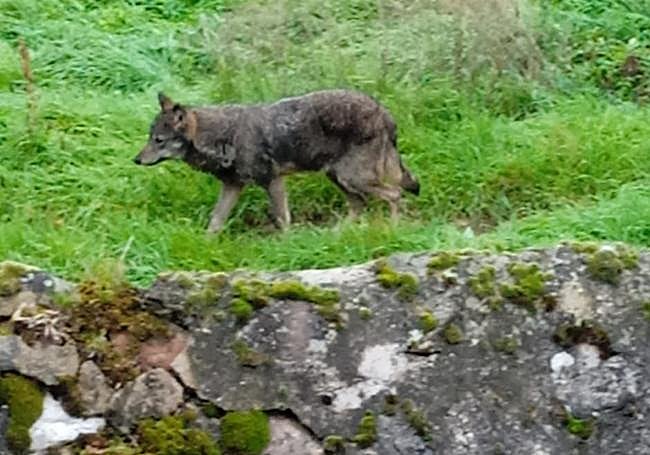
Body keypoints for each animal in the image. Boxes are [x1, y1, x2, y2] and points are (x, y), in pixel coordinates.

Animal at [134, 90, 420, 233]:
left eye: (159, 140)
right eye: (150, 137)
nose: (136, 159)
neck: (225, 136)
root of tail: (384, 112)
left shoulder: (272, 180)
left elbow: (282, 219)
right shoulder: (233, 186)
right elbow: (215, 223)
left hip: (353, 178)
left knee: (395, 194)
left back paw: (394, 230)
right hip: (339, 178)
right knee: (360, 205)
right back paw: (336, 235)